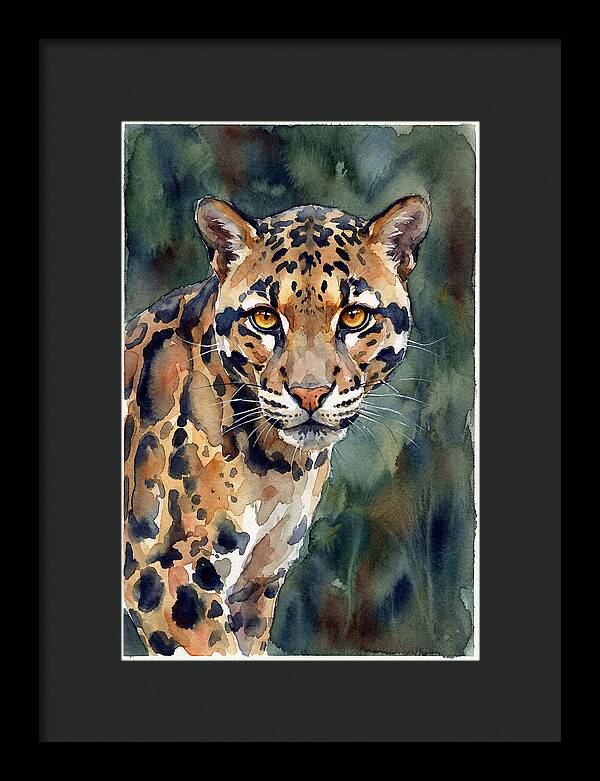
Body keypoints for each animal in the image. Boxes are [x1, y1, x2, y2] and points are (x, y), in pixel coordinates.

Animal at [123, 194, 431, 657]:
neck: (277, 467)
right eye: (265, 318)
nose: (310, 393)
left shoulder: (256, 585)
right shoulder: (166, 575)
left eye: (354, 317)